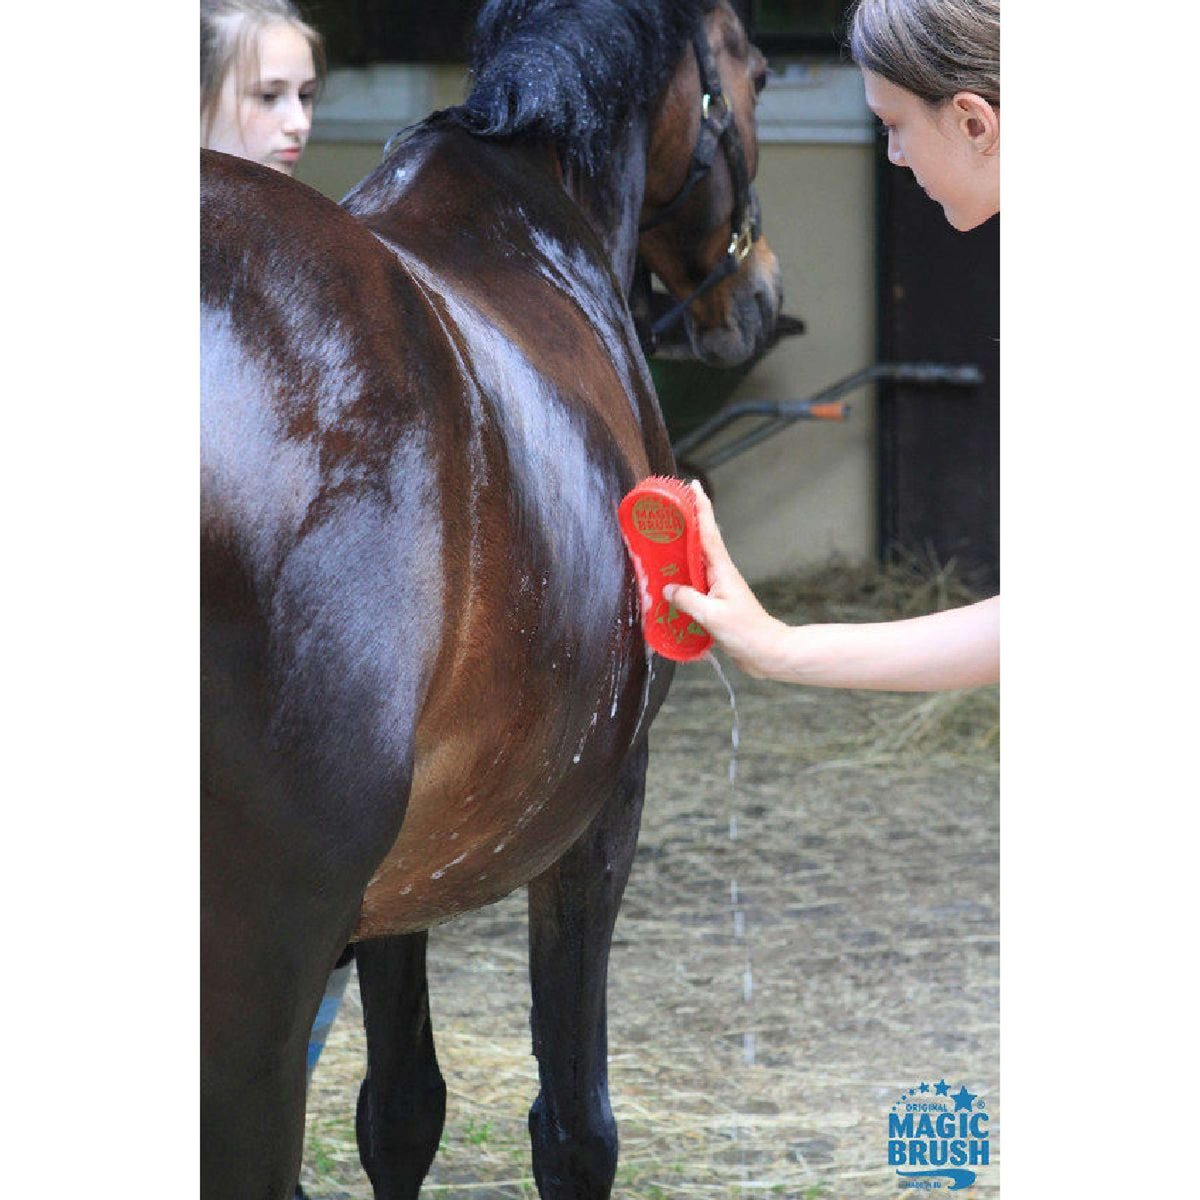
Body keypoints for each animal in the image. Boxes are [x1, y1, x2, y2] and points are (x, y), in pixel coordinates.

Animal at [200, 2, 781, 1196]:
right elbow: (574, 1126)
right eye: (754, 68)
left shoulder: (404, 872)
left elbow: (399, 1112)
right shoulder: (600, 816)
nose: (759, 302)